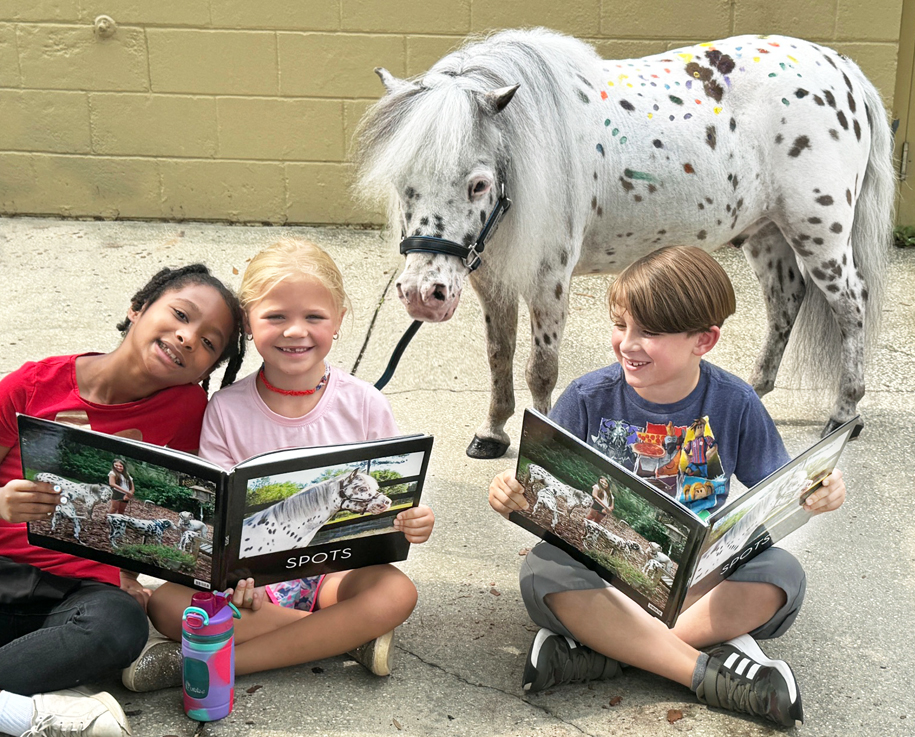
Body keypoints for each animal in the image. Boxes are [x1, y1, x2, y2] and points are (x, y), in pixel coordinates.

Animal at [356, 28, 896, 458]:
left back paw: (844, 413)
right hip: (767, 232)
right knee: (786, 302)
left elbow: (541, 369)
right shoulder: (494, 279)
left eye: (479, 184)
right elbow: (498, 357)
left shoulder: (549, 279)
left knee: (851, 307)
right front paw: (492, 433)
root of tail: (843, 68)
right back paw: (754, 391)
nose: (422, 296)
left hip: (819, 233)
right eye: (402, 181)